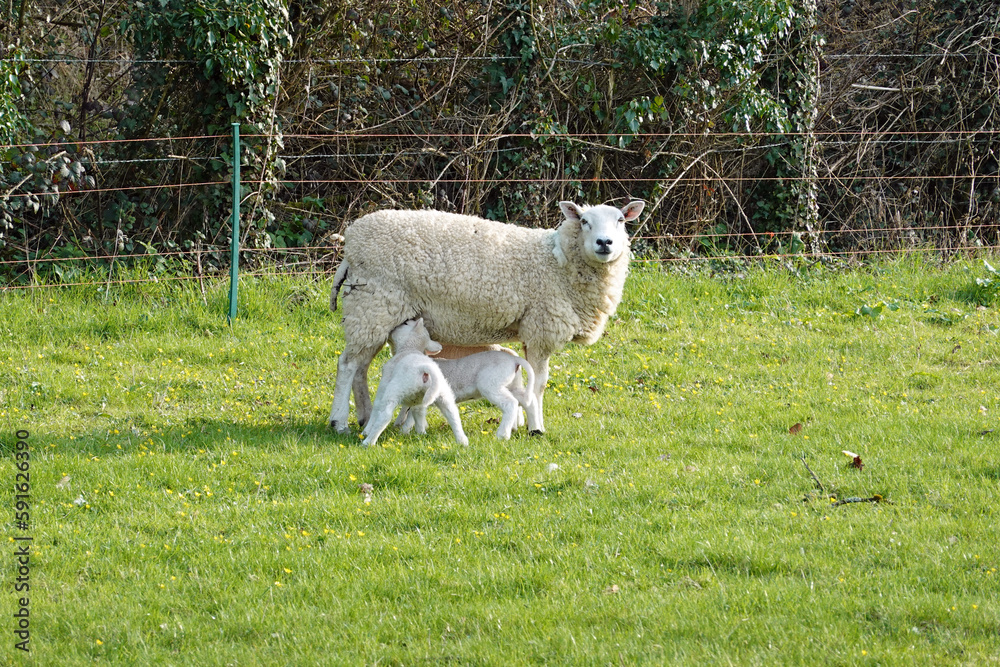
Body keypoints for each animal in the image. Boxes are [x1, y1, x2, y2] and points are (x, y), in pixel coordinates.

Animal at [328, 199, 646, 434]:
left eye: (621, 220)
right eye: (584, 221)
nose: (604, 242)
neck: (557, 263)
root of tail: (351, 243)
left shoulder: (531, 332)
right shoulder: (541, 329)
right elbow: (539, 384)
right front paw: (535, 427)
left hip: (375, 314)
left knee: (361, 367)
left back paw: (365, 416)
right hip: (373, 305)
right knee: (347, 365)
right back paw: (339, 421)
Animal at [359, 318, 468, 448]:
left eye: (405, 323)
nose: (392, 328)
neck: (410, 348)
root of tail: (424, 369)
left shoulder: (385, 380)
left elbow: (376, 406)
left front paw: (366, 430)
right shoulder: (418, 401)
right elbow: (418, 413)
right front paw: (421, 432)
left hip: (395, 390)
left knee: (385, 415)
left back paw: (368, 441)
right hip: (443, 393)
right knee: (452, 414)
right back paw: (462, 441)